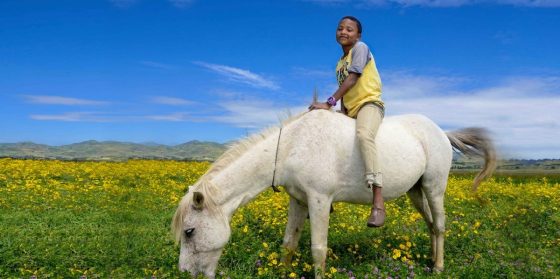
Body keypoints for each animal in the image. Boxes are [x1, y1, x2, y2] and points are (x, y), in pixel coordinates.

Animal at [171, 110, 494, 279]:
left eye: (189, 231)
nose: (186, 272)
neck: (292, 146)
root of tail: (442, 133)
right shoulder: (298, 200)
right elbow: (289, 243)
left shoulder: (319, 200)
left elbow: (318, 249)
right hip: (416, 191)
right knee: (430, 225)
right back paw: (430, 259)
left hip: (434, 187)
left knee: (439, 224)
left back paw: (438, 267)